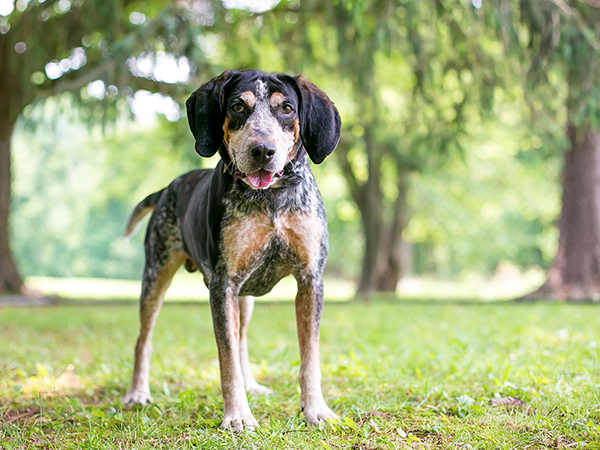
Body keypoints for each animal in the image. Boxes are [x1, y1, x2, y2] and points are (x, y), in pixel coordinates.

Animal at [122, 69, 342, 428]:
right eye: (238, 106)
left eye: (287, 109)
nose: (263, 150)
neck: (271, 199)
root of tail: (169, 187)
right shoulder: (222, 284)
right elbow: (226, 362)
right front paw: (238, 415)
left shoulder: (311, 281)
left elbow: (310, 358)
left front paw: (316, 409)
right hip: (156, 278)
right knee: (144, 340)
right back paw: (137, 392)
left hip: (245, 298)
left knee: (241, 341)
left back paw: (252, 384)